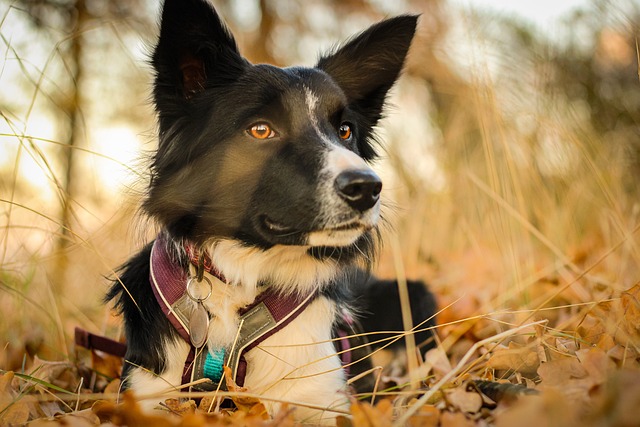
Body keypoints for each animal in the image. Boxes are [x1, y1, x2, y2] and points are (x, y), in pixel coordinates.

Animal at [107, 0, 438, 422]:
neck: (243, 279)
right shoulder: (147, 395)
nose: (367, 187)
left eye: (345, 131)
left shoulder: (323, 400)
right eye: (261, 130)